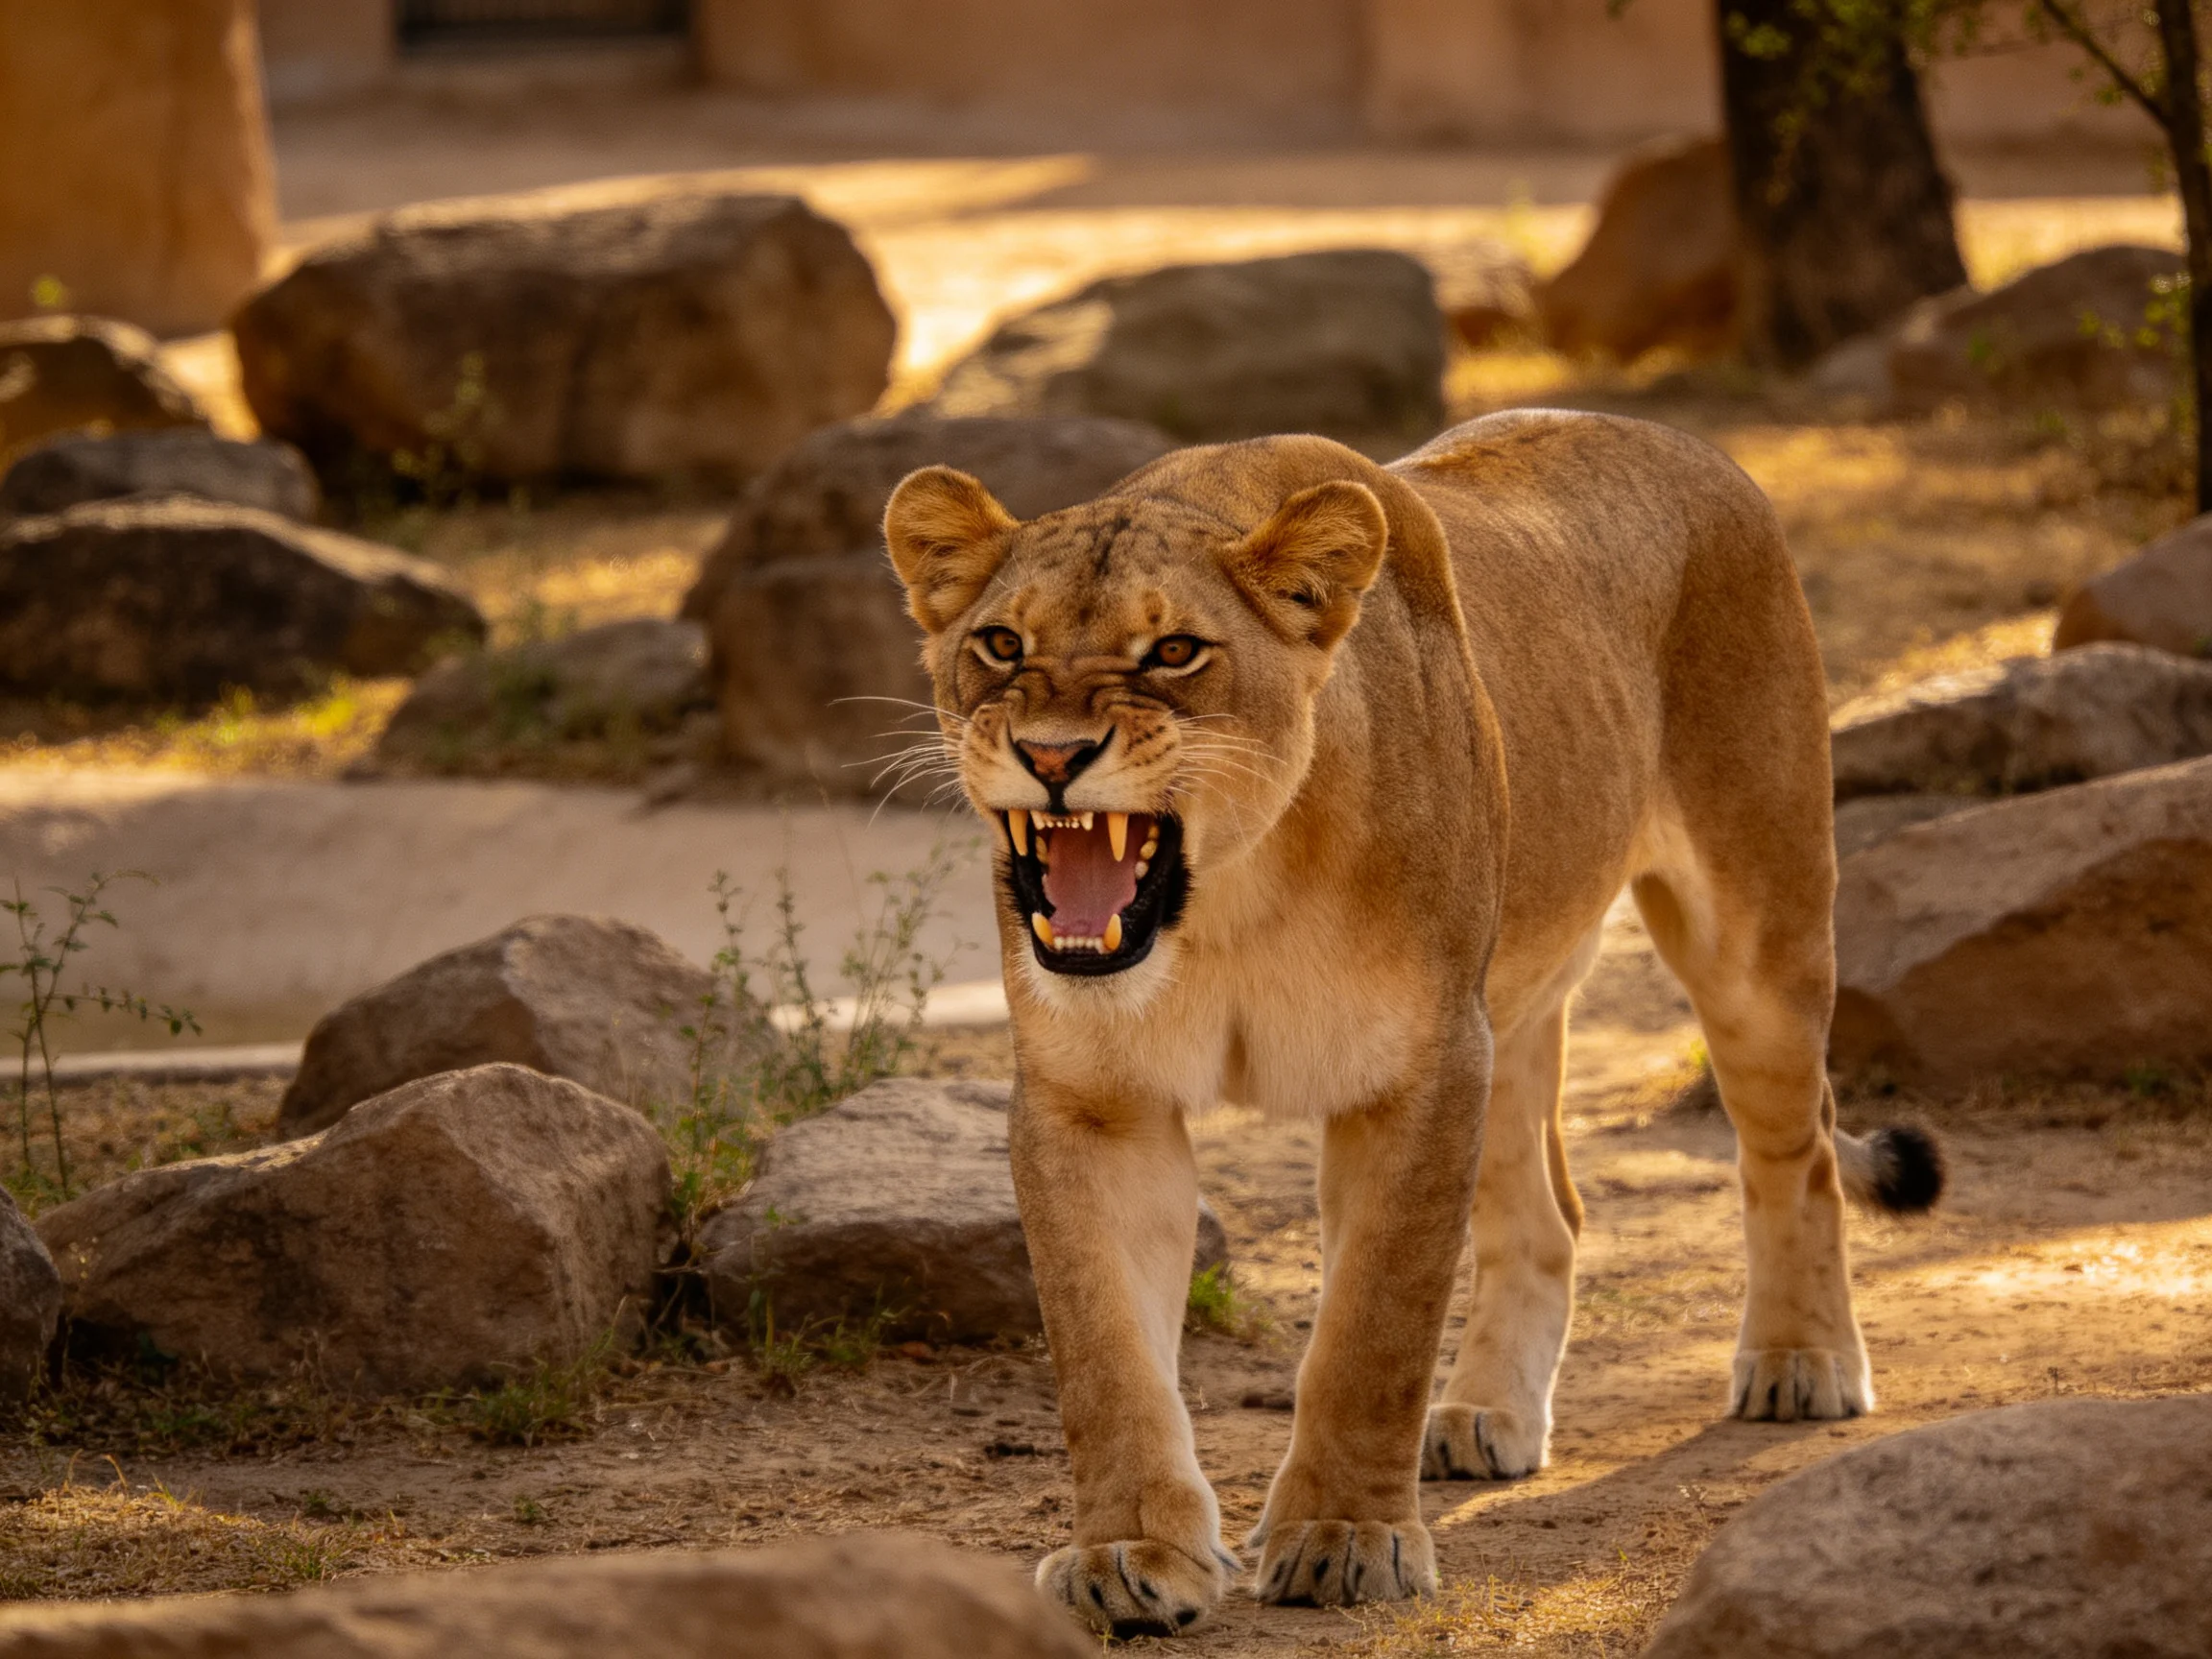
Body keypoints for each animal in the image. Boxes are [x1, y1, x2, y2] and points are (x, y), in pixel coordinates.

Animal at [882, 410, 1942, 1638]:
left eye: (1175, 652)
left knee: (1795, 1151)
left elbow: (1372, 1328)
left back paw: (1797, 1363)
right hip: (1509, 1010)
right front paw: (1130, 1555)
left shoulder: (1421, 1072)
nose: (1053, 757)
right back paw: (1486, 1416)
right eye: (1002, 643)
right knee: (1548, 1215)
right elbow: (1105, 1354)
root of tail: (1688, 444)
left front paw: (1346, 1539)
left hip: (1754, 935)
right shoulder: (1096, 1101)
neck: (1229, 897)